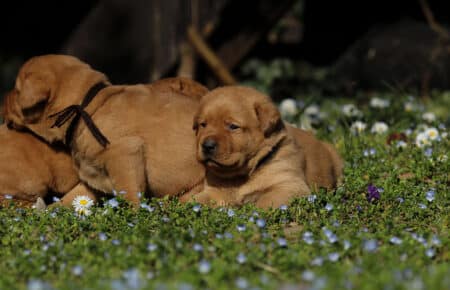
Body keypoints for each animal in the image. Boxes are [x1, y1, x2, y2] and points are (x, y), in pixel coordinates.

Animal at [4, 54, 207, 207]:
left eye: (16, 90)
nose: (3, 99)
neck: (88, 106)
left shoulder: (125, 154)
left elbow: (131, 198)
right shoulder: (92, 178)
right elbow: (69, 200)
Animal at [179, 86, 342, 208]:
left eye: (233, 126)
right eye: (203, 124)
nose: (207, 145)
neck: (240, 176)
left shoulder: (289, 186)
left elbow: (264, 204)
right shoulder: (213, 192)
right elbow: (193, 201)